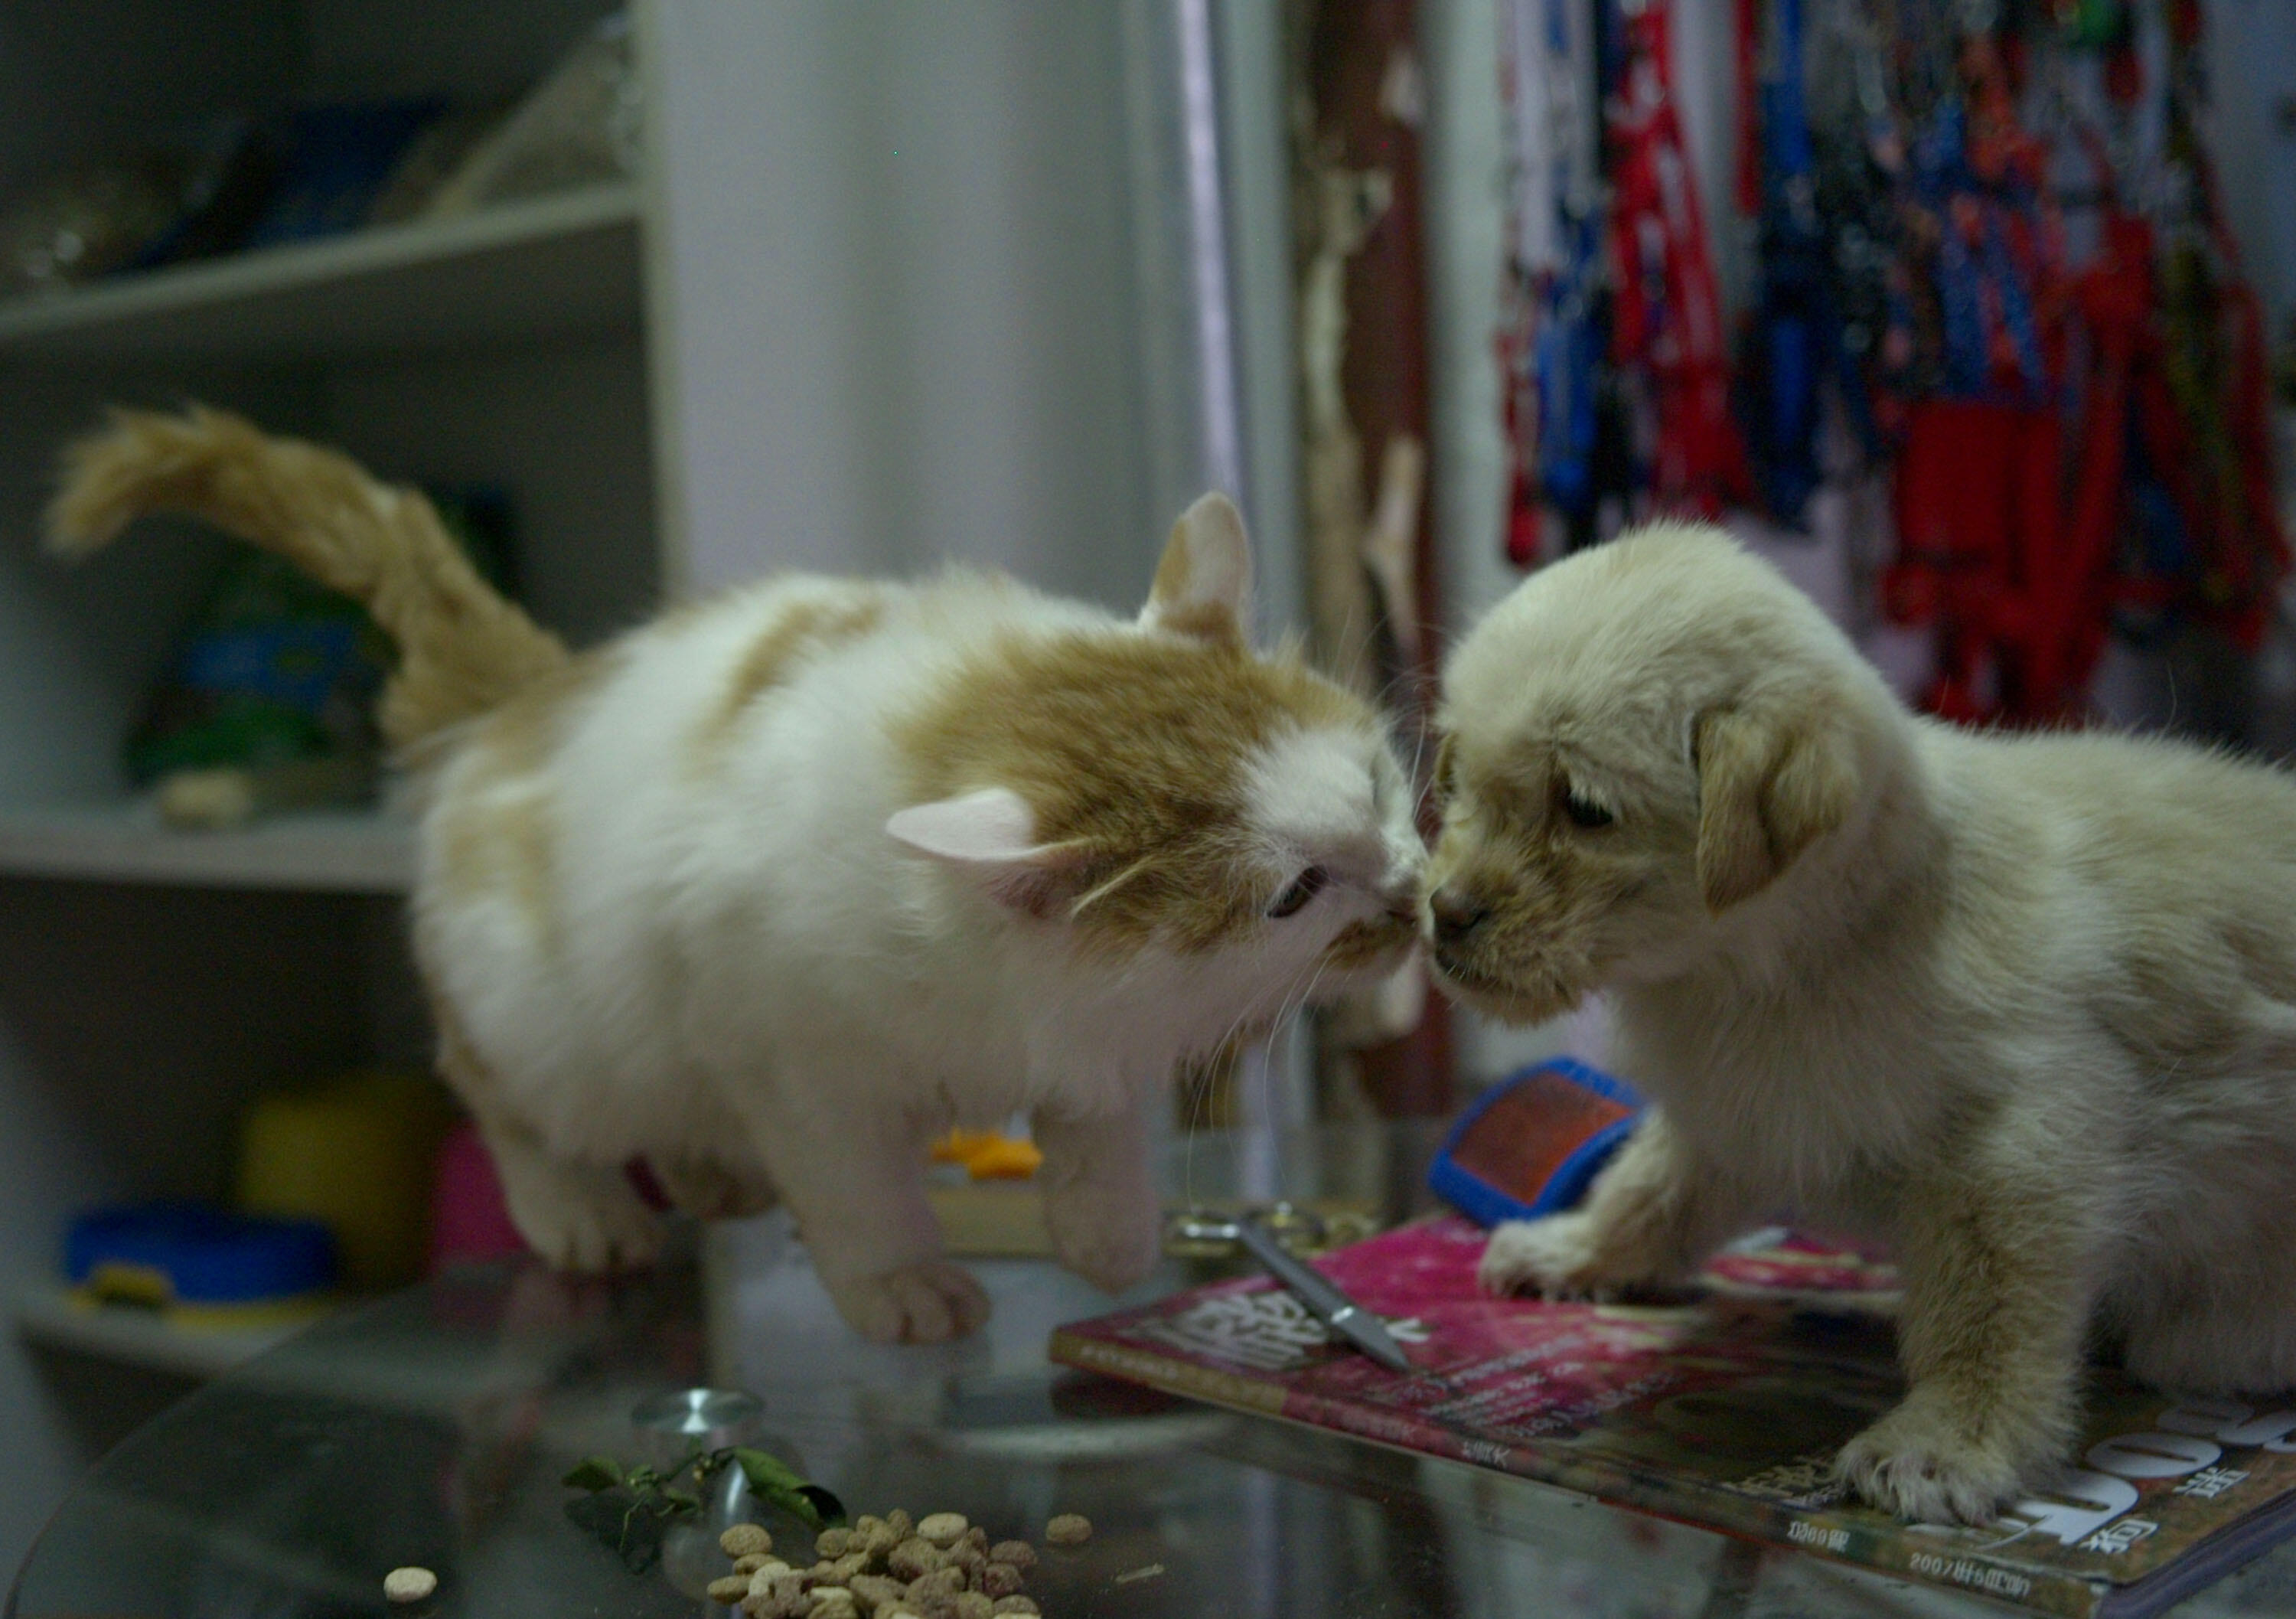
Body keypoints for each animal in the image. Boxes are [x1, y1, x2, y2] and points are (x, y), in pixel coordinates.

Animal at [49, 413, 1414, 1341]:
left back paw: (715, 1172)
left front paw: (1108, 1229)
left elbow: (1096, 1125)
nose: (1409, 896)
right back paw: (584, 1211)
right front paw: (899, 1283)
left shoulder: (1085, 1032)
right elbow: (859, 1189)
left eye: (1379, 782)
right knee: (504, 1097)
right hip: (538, 1025)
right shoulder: (792, 1063)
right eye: (1296, 892)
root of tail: (523, 699)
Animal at [1424, 524, 2296, 1525]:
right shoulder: (1737, 1115)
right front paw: (1578, 1250)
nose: (1442, 914)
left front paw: (1954, 1439)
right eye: (1459, 780)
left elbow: (1988, 1313)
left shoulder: (2023, 1147)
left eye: (1584, 810)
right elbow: (1647, 1189)